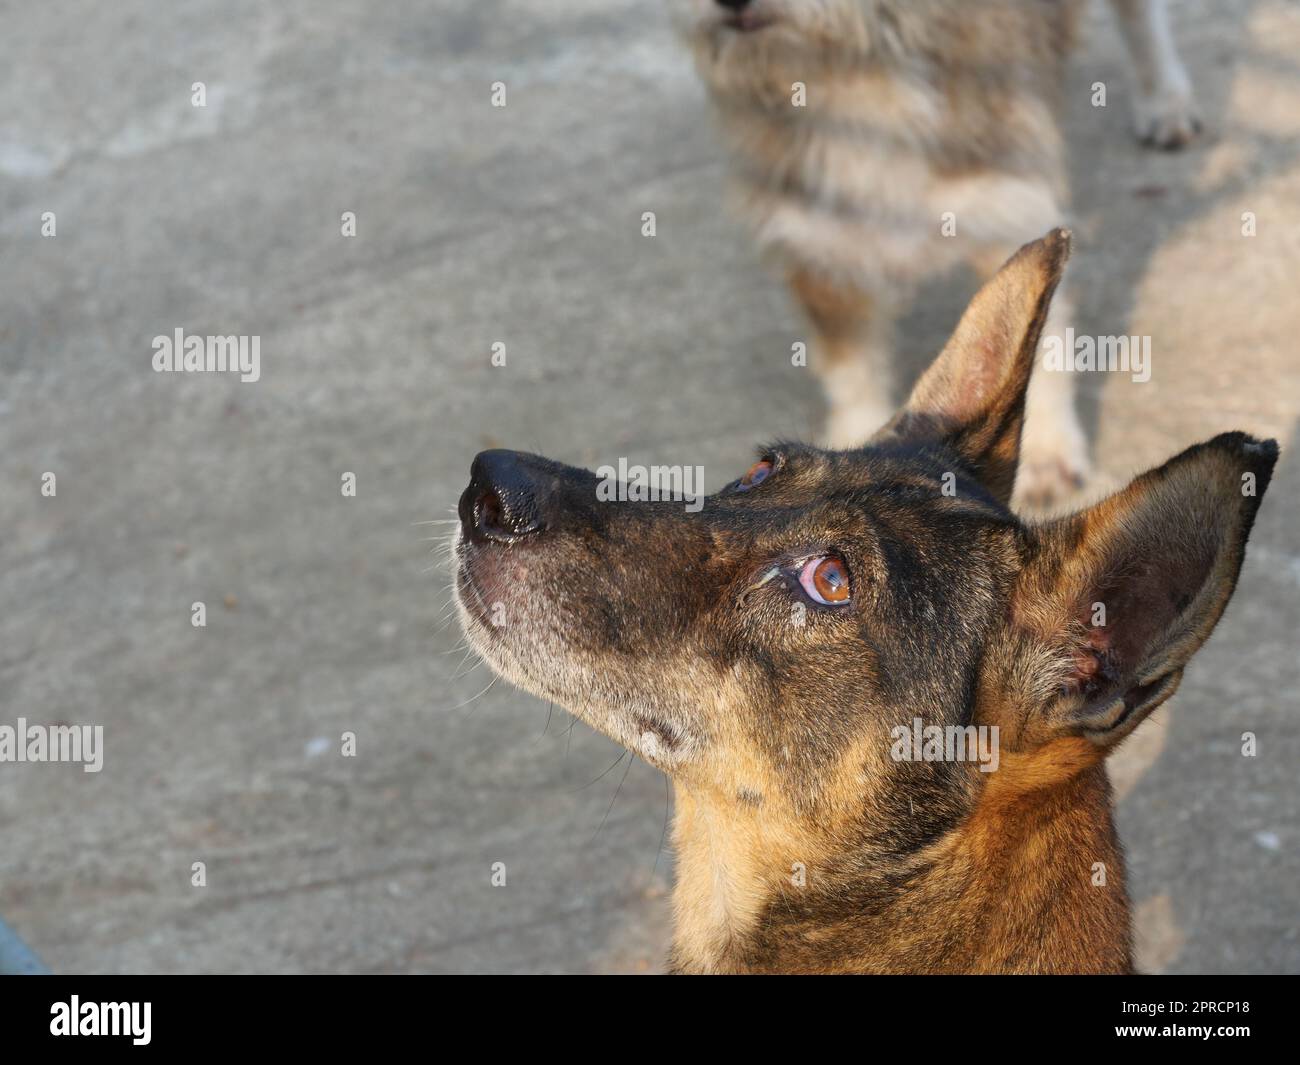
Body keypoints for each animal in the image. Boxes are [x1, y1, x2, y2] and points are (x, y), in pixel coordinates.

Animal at [676, 0, 1201, 507]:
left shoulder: (1011, 208)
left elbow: (1037, 341)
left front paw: (1046, 453)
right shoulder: (818, 243)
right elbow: (851, 368)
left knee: (1141, 16)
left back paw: (1165, 101)